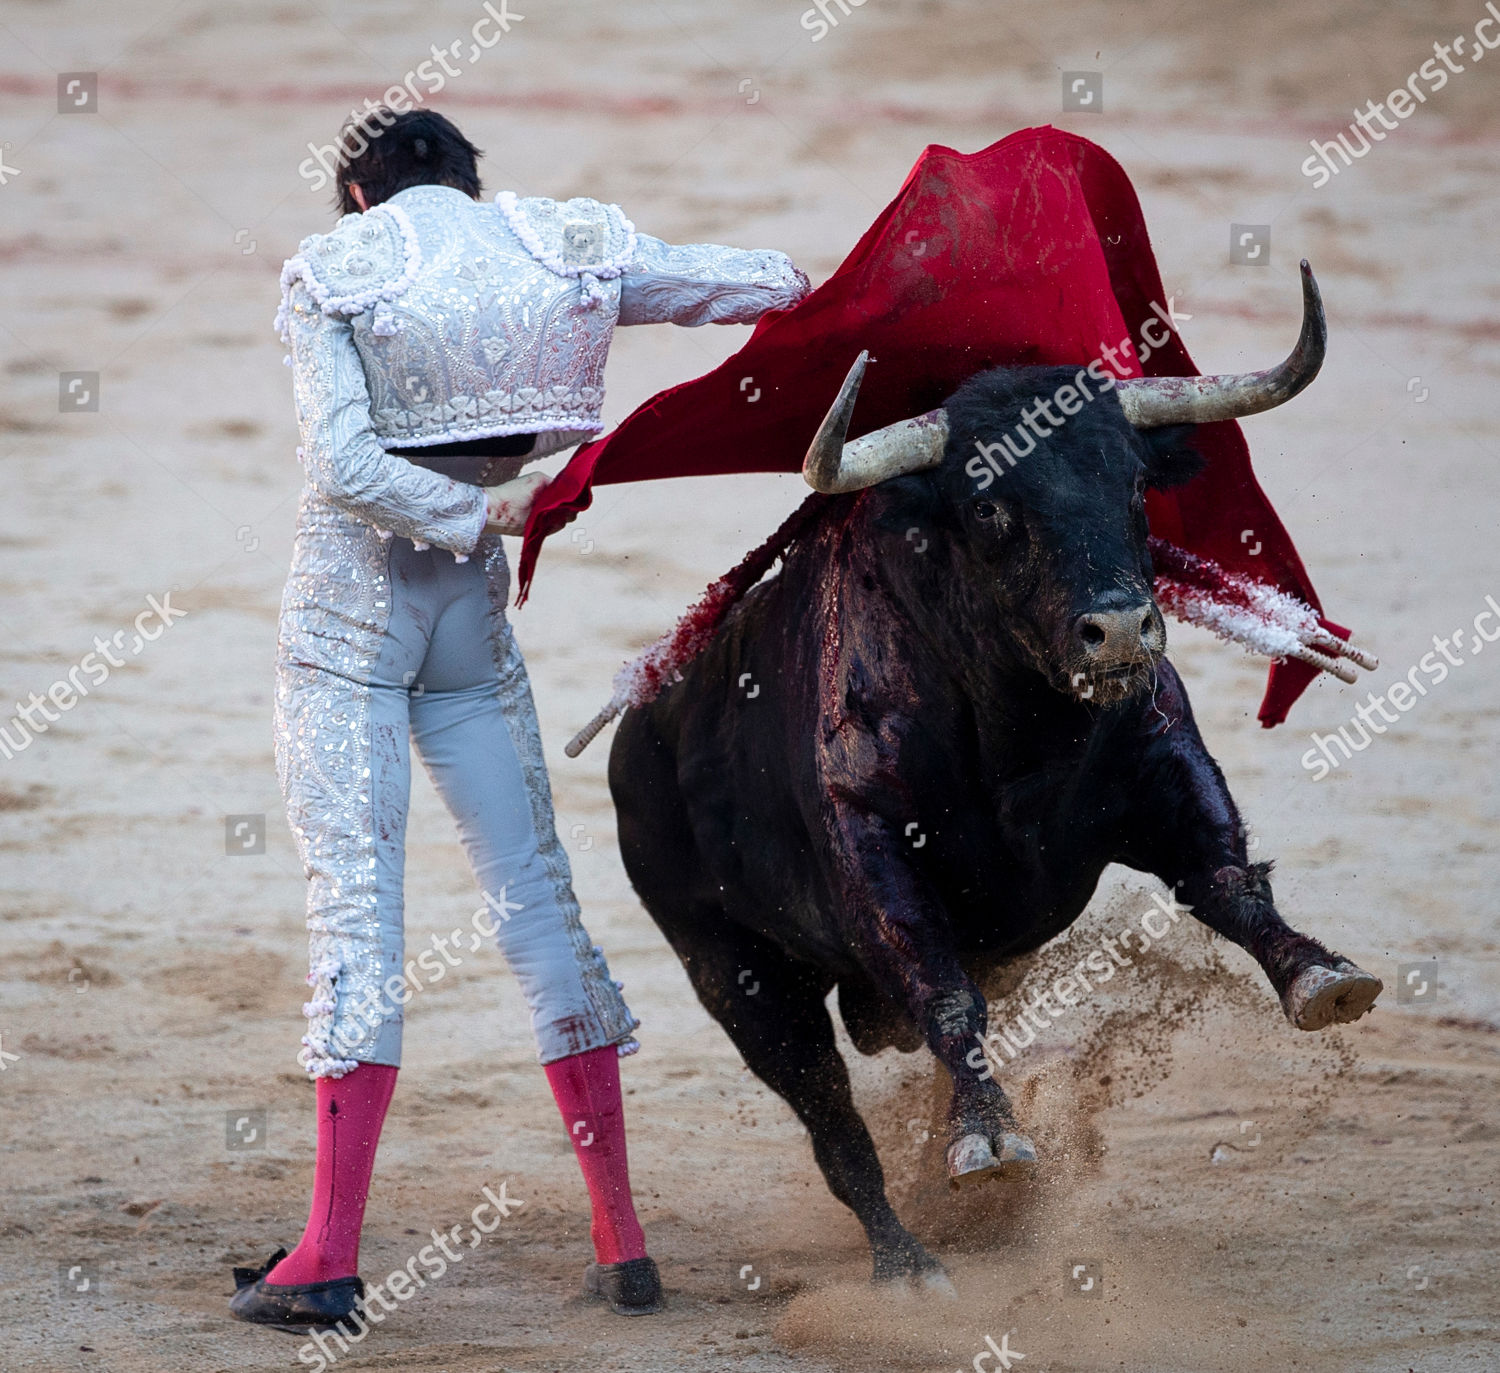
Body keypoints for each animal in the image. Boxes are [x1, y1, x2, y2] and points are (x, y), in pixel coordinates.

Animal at [603, 364, 1374, 1290]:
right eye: (989, 507)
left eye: (1135, 485)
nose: (1120, 627)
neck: (1021, 729)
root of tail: (637, 731)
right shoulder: (871, 846)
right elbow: (940, 989)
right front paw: (992, 1137)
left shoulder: (1164, 761)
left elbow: (1227, 882)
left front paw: (1320, 974)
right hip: (731, 973)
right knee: (832, 1122)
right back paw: (906, 1263)